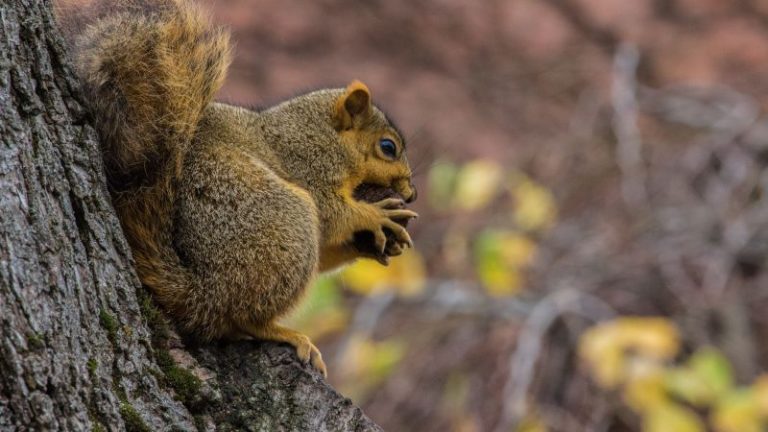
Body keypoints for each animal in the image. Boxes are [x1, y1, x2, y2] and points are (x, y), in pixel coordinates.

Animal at [71, 0, 416, 376]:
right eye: (388, 147)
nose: (411, 193)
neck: (319, 132)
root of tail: (204, 292)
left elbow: (328, 243)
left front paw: (373, 245)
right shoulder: (309, 164)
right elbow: (331, 212)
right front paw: (374, 215)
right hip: (287, 225)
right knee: (242, 318)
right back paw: (284, 333)